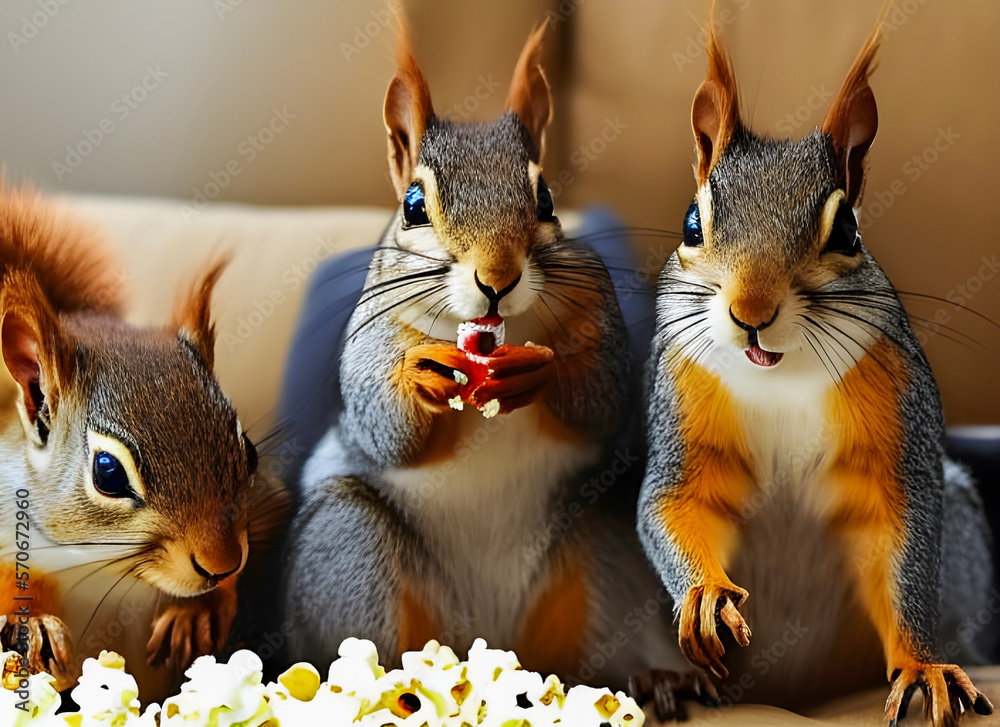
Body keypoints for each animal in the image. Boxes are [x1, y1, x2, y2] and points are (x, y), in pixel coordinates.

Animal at [282, 22, 695, 702]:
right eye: (414, 205)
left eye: (547, 197)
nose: (497, 278)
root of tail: (492, 651)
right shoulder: (370, 330)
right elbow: (382, 426)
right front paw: (416, 377)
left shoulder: (596, 298)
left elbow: (606, 397)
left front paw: (542, 371)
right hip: (346, 548)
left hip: (603, 546)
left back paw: (662, 677)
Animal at [637, 16, 995, 726]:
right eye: (691, 223)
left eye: (849, 231)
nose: (751, 312)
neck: (780, 375)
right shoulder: (680, 408)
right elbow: (671, 502)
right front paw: (705, 595)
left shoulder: (898, 426)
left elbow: (902, 549)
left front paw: (922, 668)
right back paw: (671, 680)